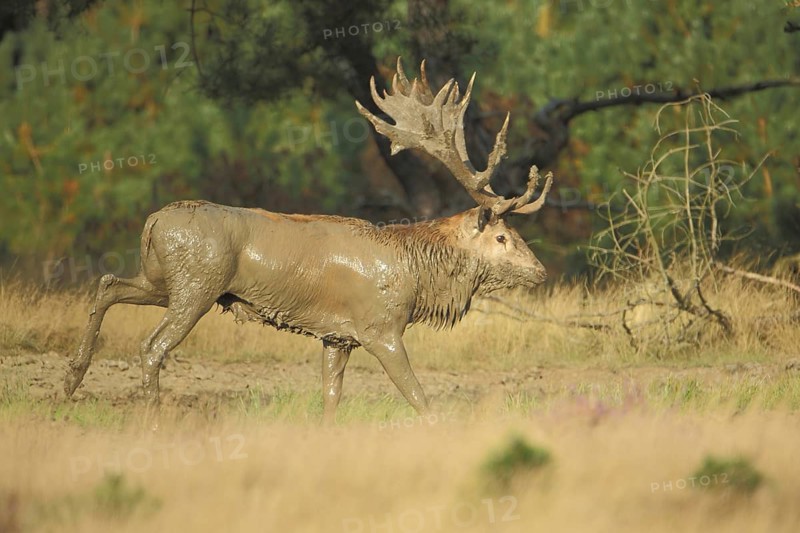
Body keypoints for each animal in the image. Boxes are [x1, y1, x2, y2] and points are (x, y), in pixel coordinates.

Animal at [64, 58, 554, 423]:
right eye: (503, 237)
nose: (540, 271)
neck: (416, 275)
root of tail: (153, 221)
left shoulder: (337, 337)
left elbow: (330, 399)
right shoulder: (380, 327)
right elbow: (419, 398)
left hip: (163, 279)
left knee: (109, 284)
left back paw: (72, 378)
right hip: (196, 283)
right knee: (152, 346)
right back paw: (150, 418)